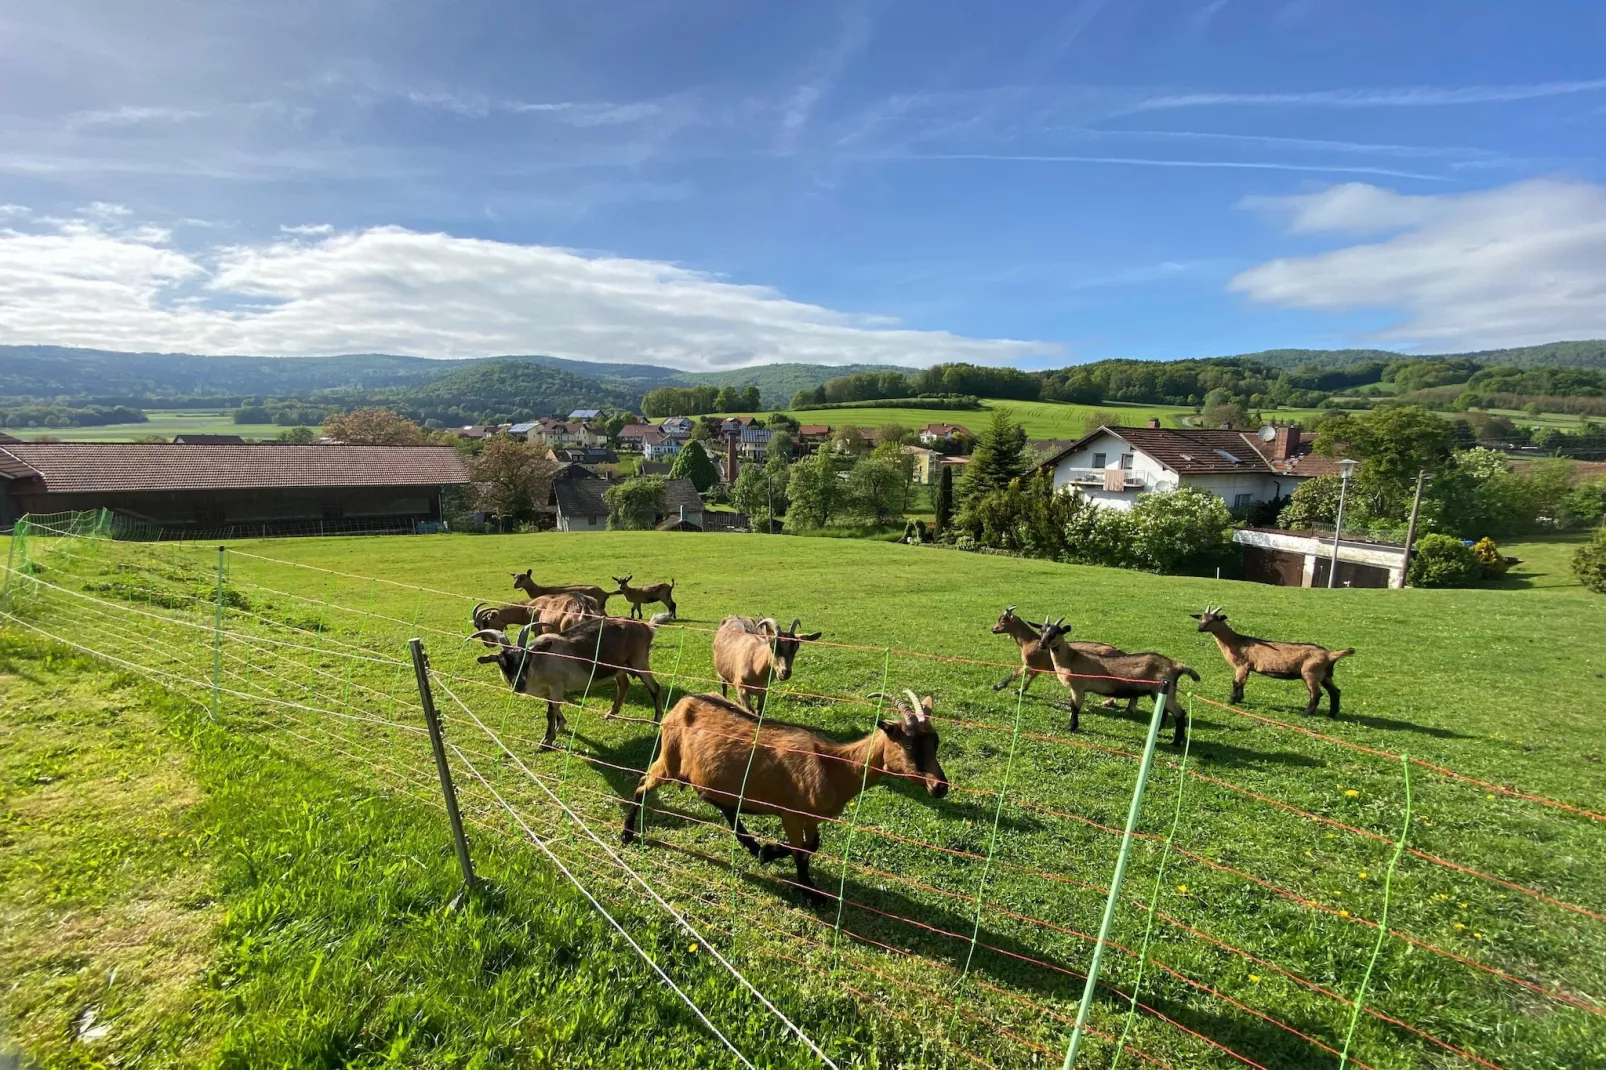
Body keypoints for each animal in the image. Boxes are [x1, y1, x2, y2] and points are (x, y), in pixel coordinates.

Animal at [468, 613, 661, 745]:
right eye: (502, 663)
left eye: (527, 660)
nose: (519, 685)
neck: (542, 660)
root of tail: (646, 627)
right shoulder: (549, 690)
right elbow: (554, 708)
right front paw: (560, 726)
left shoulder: (557, 684)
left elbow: (551, 710)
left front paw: (547, 741)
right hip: (619, 668)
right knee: (624, 684)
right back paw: (610, 714)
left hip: (639, 661)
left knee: (654, 687)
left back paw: (656, 722)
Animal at [610, 687, 937, 893]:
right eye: (909, 745)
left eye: (936, 742)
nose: (940, 787)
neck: (833, 765)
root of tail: (681, 703)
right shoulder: (790, 814)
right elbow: (801, 851)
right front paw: (807, 890)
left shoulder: (810, 817)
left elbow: (812, 846)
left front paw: (769, 854)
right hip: (669, 759)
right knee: (643, 784)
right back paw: (627, 833)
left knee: (715, 799)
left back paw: (751, 844)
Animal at [1034, 616, 1201, 742]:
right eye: (1041, 631)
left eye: (1056, 632)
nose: (1041, 644)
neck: (1071, 658)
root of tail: (1175, 665)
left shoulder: (1078, 687)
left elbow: (1074, 708)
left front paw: (1071, 727)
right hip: (1160, 692)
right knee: (1165, 712)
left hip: (1165, 690)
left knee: (1180, 713)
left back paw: (1176, 742)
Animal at [1194, 600, 1355, 716]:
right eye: (1201, 618)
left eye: (1213, 619)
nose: (1199, 628)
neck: (1237, 642)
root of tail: (1330, 654)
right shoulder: (1247, 668)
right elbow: (1243, 684)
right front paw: (1239, 699)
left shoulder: (1242, 665)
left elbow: (1236, 683)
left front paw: (1232, 701)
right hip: (1325, 675)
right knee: (1335, 691)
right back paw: (1332, 714)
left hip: (1310, 672)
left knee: (1316, 693)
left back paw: (1306, 713)